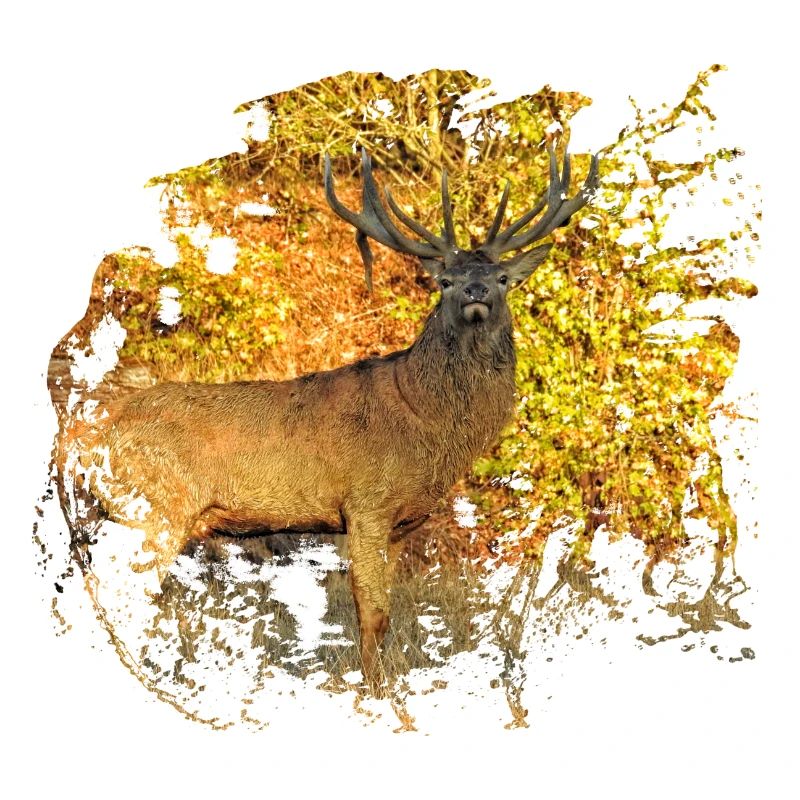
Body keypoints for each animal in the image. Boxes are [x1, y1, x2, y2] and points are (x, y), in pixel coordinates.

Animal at [59, 145, 598, 691]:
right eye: (444, 280)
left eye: (503, 278)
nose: (475, 292)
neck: (427, 423)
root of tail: (83, 445)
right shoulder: (366, 503)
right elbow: (372, 613)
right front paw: (376, 693)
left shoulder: (397, 526)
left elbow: (385, 613)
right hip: (154, 507)